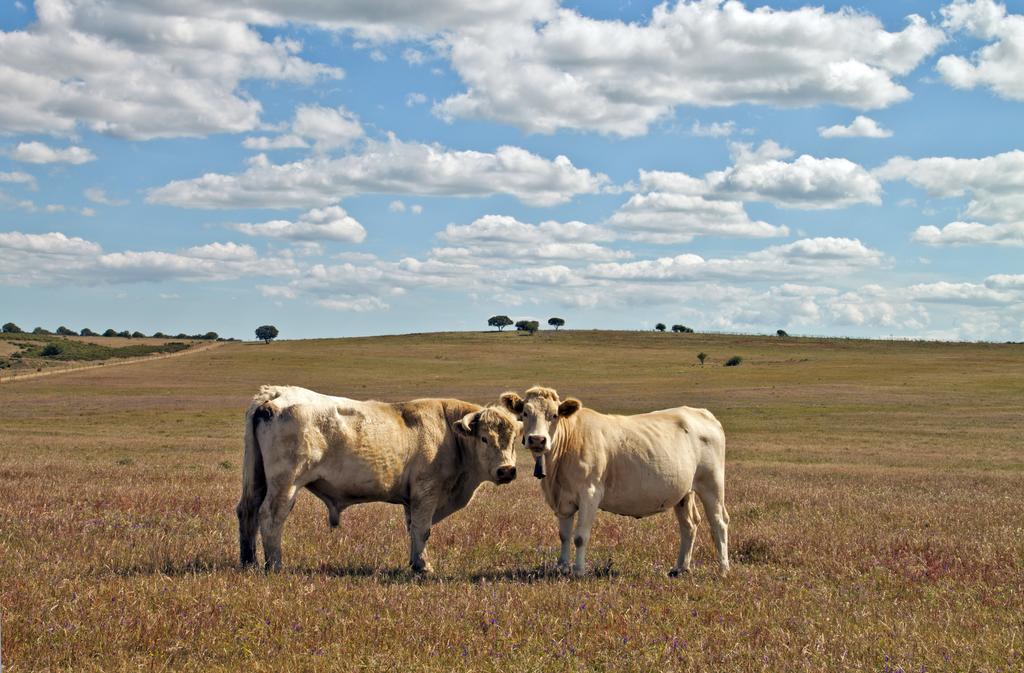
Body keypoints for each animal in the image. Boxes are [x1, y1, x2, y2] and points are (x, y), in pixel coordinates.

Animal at [237, 383, 520, 573]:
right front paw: (424, 566)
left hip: (257, 480)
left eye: (514, 439)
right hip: (286, 484)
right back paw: (275, 565)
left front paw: (415, 562)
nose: (506, 470)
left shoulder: (412, 500)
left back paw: (249, 561)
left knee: (247, 511)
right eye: (484, 438)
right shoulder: (426, 493)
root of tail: (277, 392)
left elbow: (413, 530)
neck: (449, 435)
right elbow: (422, 529)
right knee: (271, 516)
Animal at [501, 385, 729, 573]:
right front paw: (563, 567)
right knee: (689, 524)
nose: (537, 439)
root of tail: (701, 413)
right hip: (683, 492)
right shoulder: (563, 498)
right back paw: (680, 568)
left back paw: (723, 569)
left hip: (712, 483)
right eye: (525, 413)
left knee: (718, 521)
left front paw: (578, 571)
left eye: (554, 415)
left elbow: (580, 536)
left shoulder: (590, 493)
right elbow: (564, 535)